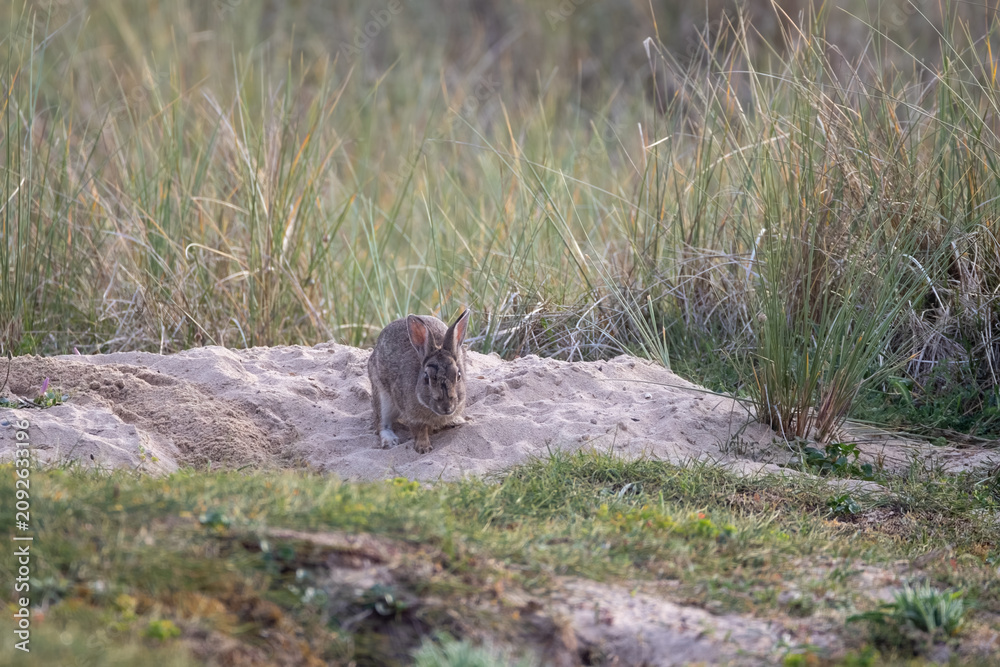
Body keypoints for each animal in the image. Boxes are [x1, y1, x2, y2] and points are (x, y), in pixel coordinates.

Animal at [367, 309, 471, 454]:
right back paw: (390, 441)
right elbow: (419, 430)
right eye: (426, 378)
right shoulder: (412, 416)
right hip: (382, 397)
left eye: (458, 375)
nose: (446, 407)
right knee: (381, 423)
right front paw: (424, 448)